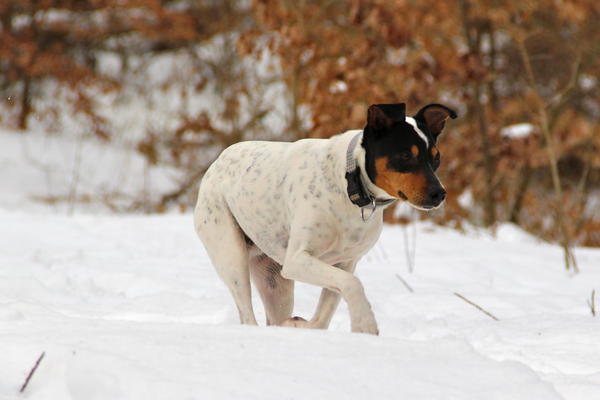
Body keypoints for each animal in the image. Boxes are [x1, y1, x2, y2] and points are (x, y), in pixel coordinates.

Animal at [195, 103, 458, 334]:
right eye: (405, 155)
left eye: (436, 157)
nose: (439, 193)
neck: (351, 185)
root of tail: (218, 161)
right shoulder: (297, 260)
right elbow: (352, 284)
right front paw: (365, 324)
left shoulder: (345, 262)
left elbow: (326, 310)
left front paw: (302, 326)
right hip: (231, 255)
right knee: (247, 313)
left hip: (274, 279)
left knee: (274, 316)